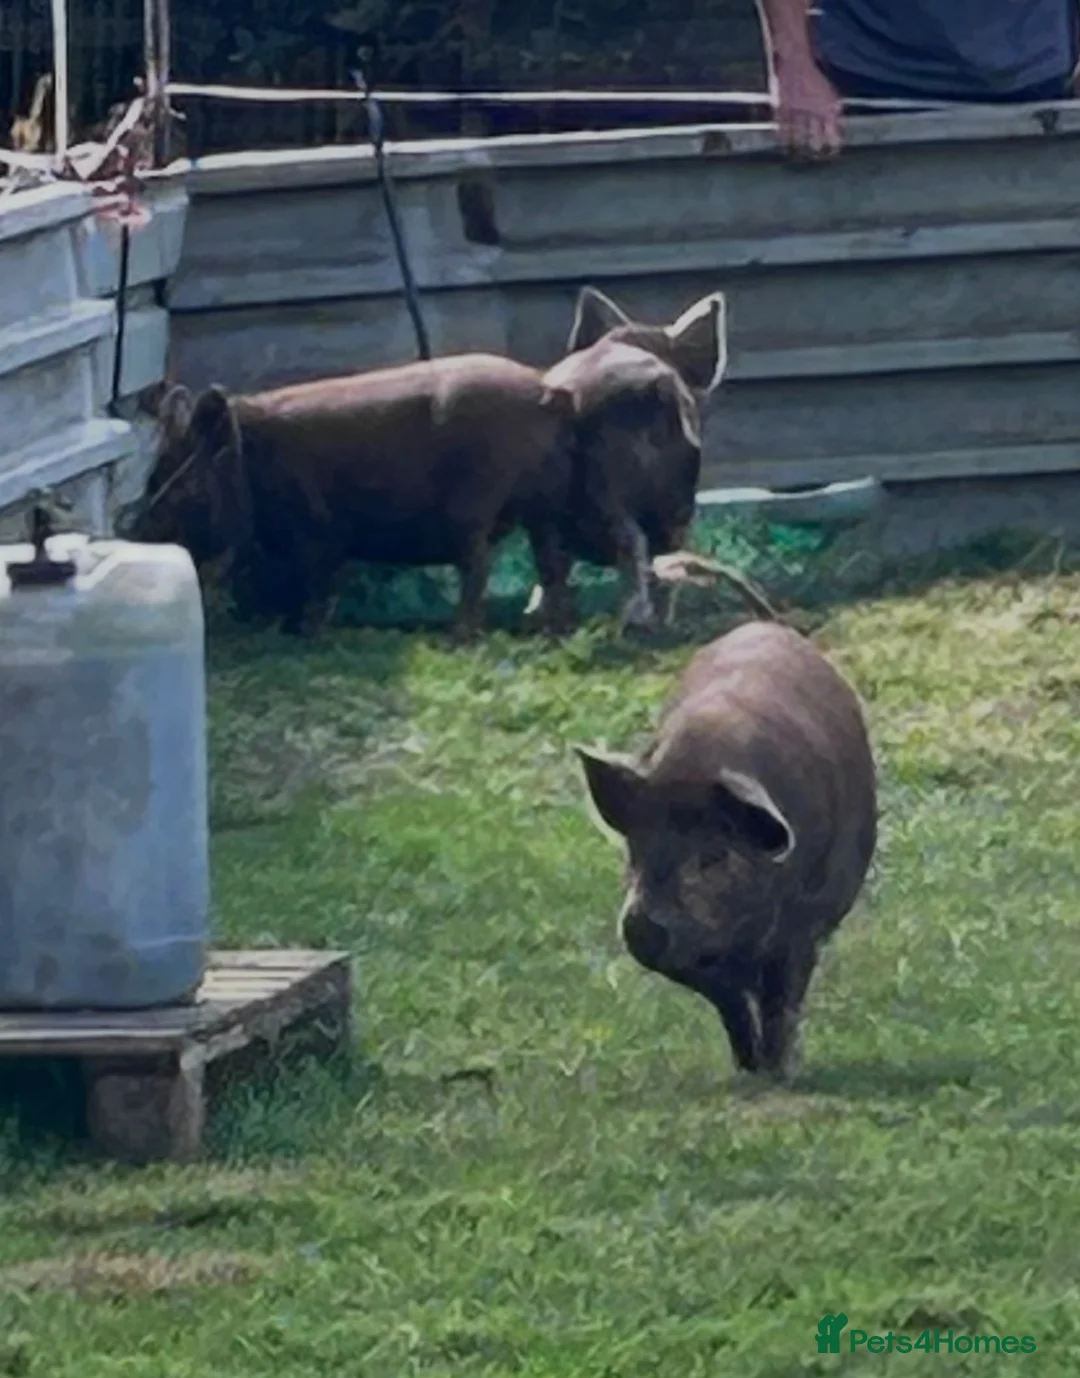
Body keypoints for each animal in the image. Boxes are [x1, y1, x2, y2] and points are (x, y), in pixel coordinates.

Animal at [125, 354, 579, 638]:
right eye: (153, 475)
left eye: (183, 484)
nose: (137, 533)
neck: (254, 465)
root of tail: (543, 390)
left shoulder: (314, 530)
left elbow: (315, 581)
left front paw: (307, 634)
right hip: (545, 506)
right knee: (552, 564)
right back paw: (550, 632)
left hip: (477, 504)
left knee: (480, 566)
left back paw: (460, 637)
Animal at [576, 620, 877, 1080]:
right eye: (635, 851)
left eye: (714, 856)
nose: (642, 923)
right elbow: (730, 1004)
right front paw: (747, 1069)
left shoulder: (804, 925)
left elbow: (782, 999)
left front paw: (777, 1071)